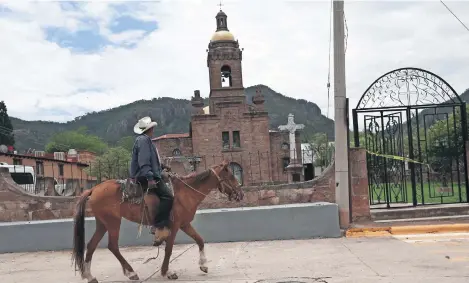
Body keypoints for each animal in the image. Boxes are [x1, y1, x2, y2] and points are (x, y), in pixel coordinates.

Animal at [72, 161, 245, 282]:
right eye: (231, 176)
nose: (241, 193)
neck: (186, 193)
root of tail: (93, 189)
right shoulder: (174, 226)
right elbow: (168, 249)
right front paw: (167, 272)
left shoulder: (184, 224)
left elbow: (200, 240)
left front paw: (203, 265)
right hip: (113, 222)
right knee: (112, 246)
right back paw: (131, 273)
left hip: (102, 223)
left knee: (91, 245)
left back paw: (90, 276)